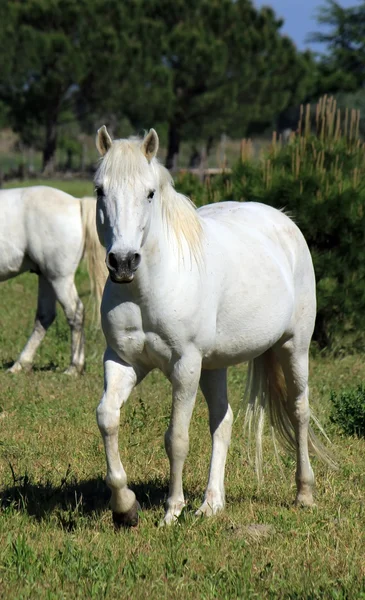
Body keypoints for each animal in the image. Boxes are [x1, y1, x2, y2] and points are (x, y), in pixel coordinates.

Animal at [0, 186, 105, 376]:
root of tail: (76, 203)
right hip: (46, 276)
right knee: (45, 316)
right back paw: (21, 364)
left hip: (59, 278)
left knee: (75, 312)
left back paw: (74, 367)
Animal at [93, 126, 328, 524]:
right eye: (99, 190)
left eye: (150, 193)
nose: (123, 262)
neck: (147, 289)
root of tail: (284, 220)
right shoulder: (123, 362)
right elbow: (107, 418)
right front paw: (125, 506)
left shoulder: (185, 366)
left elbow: (177, 438)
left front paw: (172, 510)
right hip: (214, 366)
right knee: (223, 419)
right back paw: (212, 503)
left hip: (293, 347)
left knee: (299, 411)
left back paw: (304, 493)